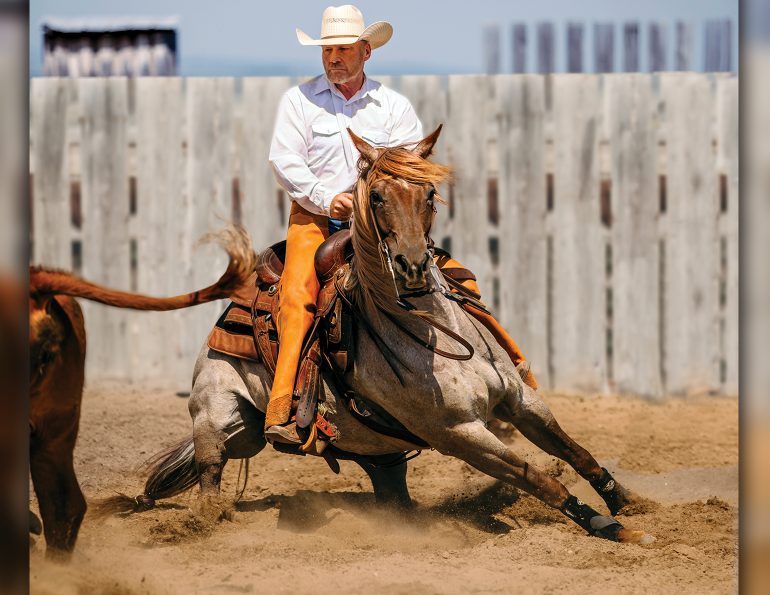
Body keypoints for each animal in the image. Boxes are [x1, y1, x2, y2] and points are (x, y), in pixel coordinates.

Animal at [103, 126, 652, 545]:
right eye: (380, 196)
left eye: (428, 195)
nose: (411, 266)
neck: (432, 336)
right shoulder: (459, 434)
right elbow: (536, 477)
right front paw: (610, 527)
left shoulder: (520, 400)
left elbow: (575, 452)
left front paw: (629, 503)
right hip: (221, 420)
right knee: (210, 476)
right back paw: (201, 522)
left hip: (361, 447)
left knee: (390, 487)